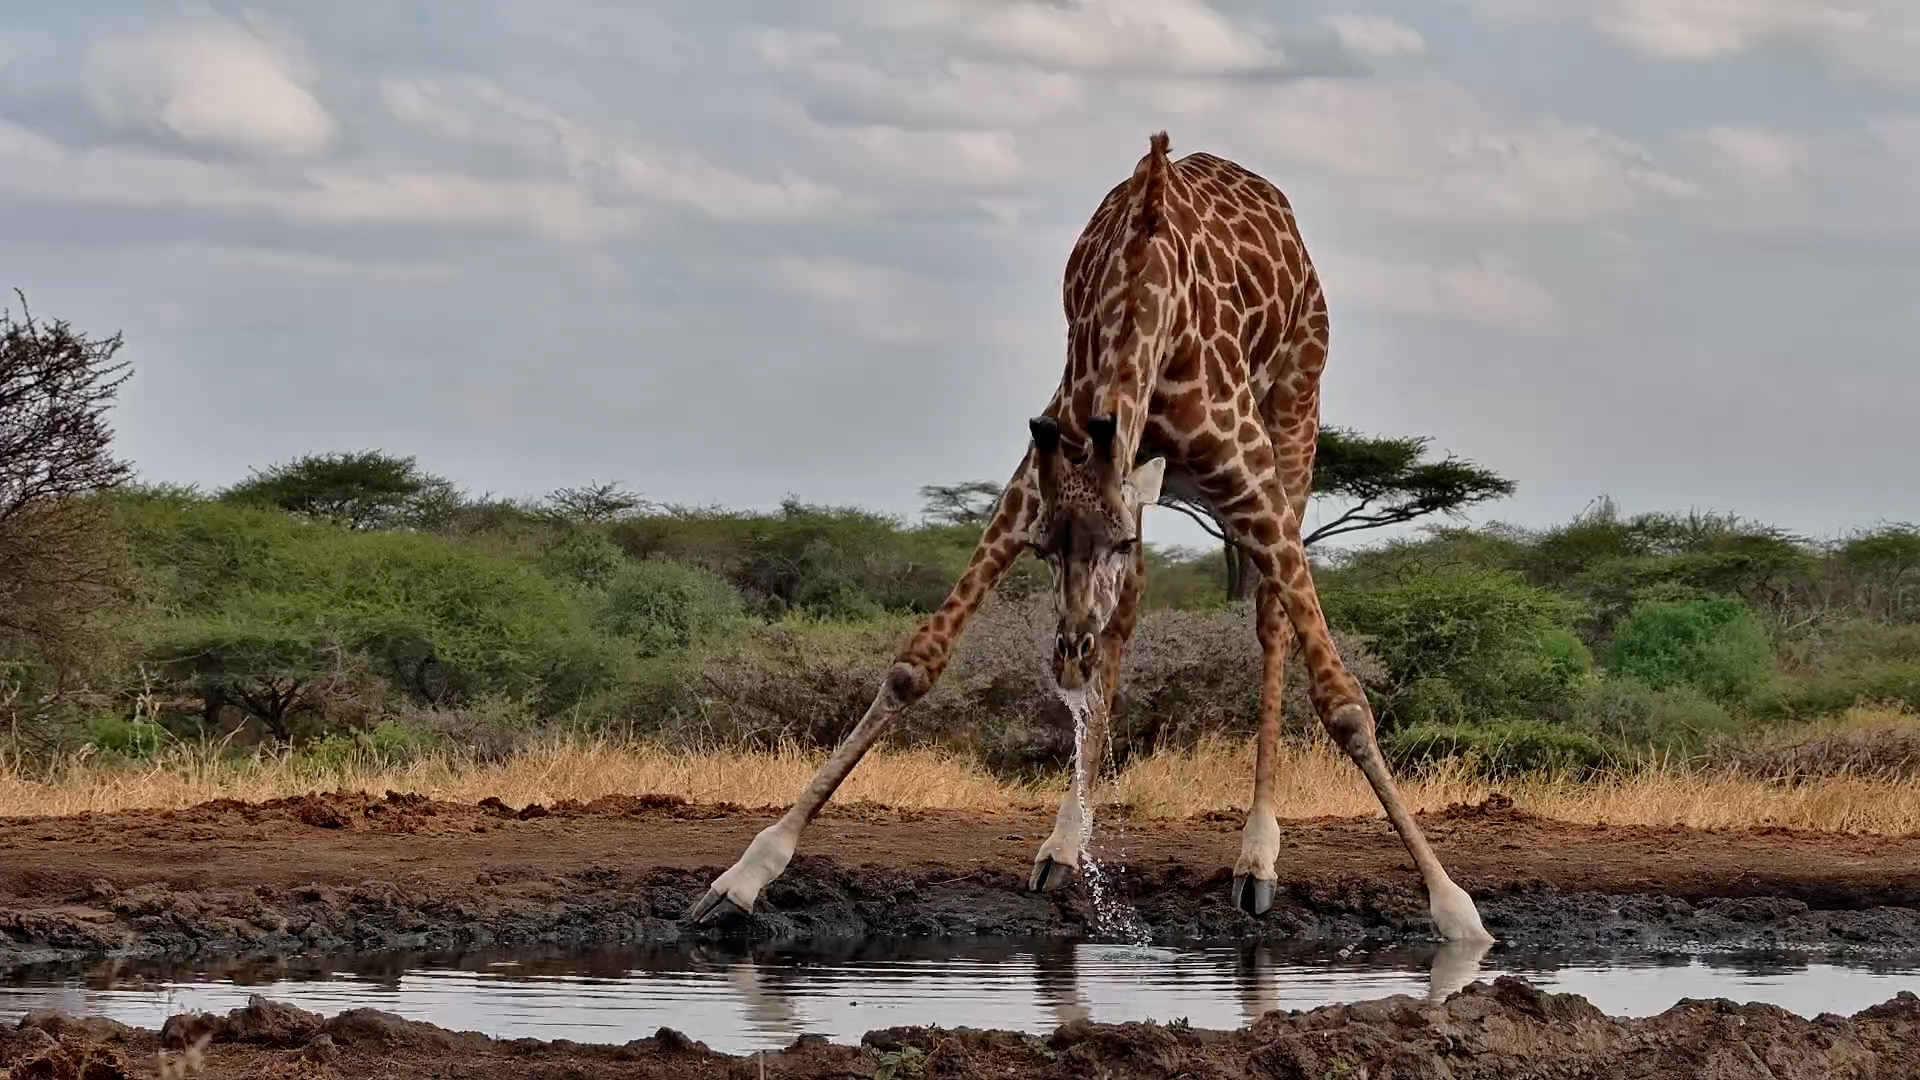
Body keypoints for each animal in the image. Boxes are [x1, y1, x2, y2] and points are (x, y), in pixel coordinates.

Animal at [687, 132, 1494, 946]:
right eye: (1046, 550)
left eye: (1113, 544)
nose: (1066, 657)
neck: (1143, 298)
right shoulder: (1037, 482)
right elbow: (916, 666)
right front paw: (744, 877)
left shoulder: (1242, 480)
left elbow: (1345, 701)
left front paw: (1456, 909)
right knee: (1126, 626)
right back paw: (1064, 845)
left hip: (1296, 421)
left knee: (1269, 622)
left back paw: (1256, 859)